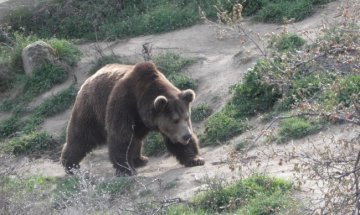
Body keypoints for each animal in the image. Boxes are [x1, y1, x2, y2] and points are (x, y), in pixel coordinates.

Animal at [60, 61, 204, 176]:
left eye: (187, 117)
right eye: (175, 120)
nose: (186, 136)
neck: (141, 101)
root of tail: (89, 79)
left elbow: (175, 142)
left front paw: (195, 159)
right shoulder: (123, 103)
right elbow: (120, 136)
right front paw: (126, 169)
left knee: (136, 138)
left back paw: (140, 159)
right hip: (91, 108)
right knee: (81, 136)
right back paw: (71, 165)